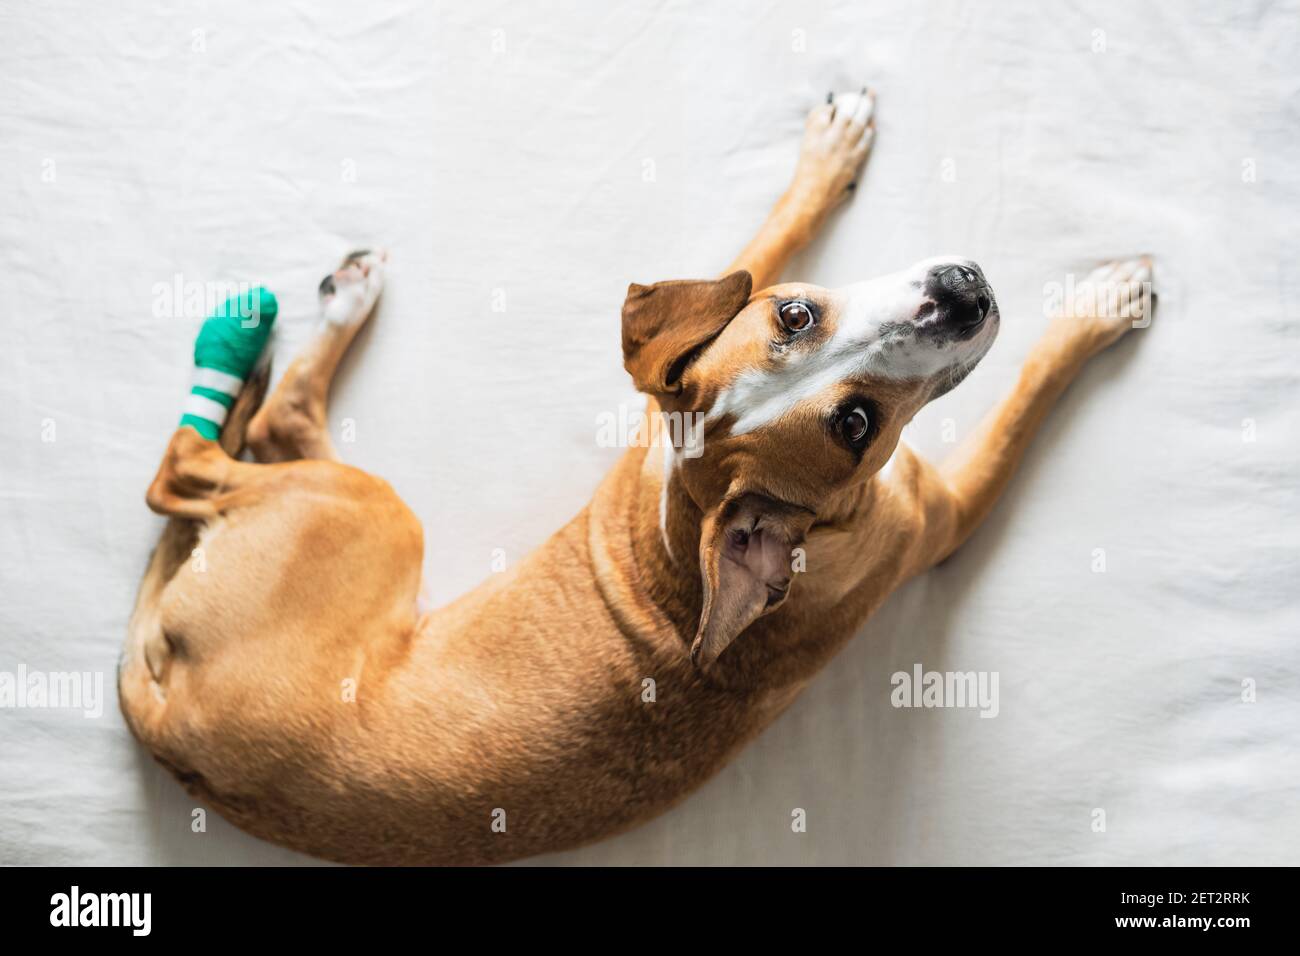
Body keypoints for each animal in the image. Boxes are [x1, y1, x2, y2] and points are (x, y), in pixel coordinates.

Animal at [119, 95, 1159, 868]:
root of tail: (169, 727)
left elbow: (761, 244)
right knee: (188, 466)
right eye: (855, 426)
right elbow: (1029, 389)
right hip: (376, 514)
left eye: (797, 312)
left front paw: (827, 154)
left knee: (264, 433)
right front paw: (1098, 306)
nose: (962, 291)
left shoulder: (673, 375)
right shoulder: (949, 513)